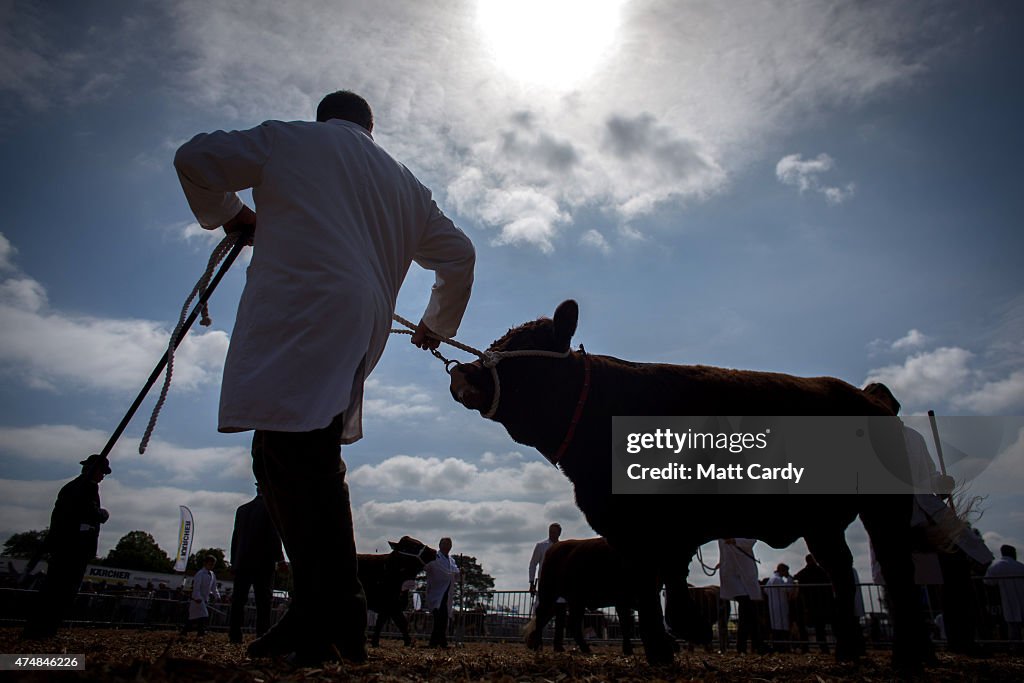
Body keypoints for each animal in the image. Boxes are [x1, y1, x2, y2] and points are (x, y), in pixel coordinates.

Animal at [448, 301, 929, 671]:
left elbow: (665, 591)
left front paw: (681, 637)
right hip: (823, 522)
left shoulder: (671, 527)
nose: (463, 373)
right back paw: (849, 652)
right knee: (841, 573)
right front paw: (663, 648)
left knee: (896, 570)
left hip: (883, 507)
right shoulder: (629, 530)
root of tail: (867, 397)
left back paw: (907, 656)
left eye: (521, 352)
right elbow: (649, 589)